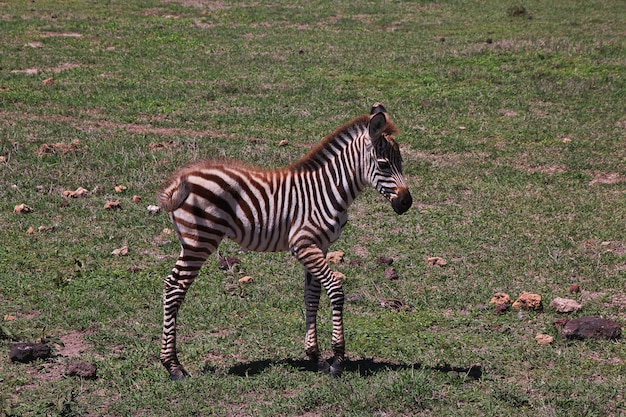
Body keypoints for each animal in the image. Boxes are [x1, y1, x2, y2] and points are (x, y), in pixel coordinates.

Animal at [156, 102, 410, 378]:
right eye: (383, 164)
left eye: (401, 162)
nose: (406, 203)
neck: (329, 189)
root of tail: (182, 178)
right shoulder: (304, 245)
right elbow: (335, 290)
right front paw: (337, 359)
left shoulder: (318, 246)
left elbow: (312, 296)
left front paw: (316, 357)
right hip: (199, 241)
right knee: (174, 287)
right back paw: (173, 366)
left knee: (172, 285)